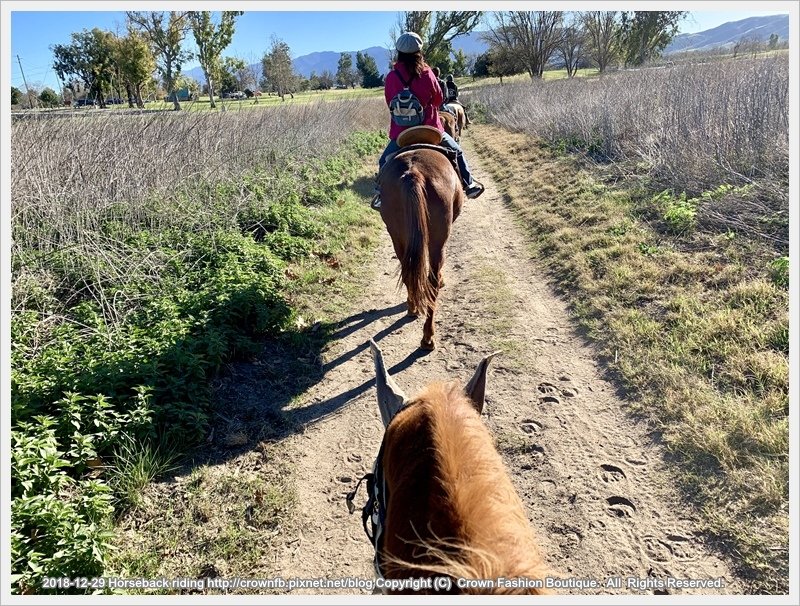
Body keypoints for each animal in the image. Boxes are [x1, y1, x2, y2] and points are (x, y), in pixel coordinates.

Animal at [380, 135, 466, 350]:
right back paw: (428, 337)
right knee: (431, 281)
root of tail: (414, 173)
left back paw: (413, 308)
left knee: (407, 271)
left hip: (397, 236)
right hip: (437, 242)